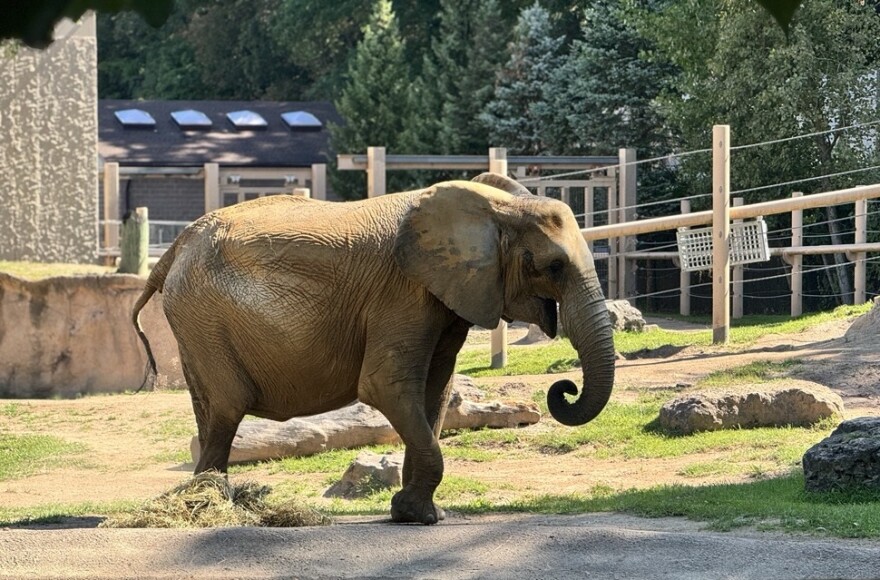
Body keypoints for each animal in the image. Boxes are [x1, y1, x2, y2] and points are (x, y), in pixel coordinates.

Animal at [132, 172, 615, 525]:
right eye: (554, 266)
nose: (564, 387)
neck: (495, 208)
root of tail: (178, 244)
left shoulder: (443, 296)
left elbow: (435, 392)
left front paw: (415, 514)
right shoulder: (402, 293)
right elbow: (386, 386)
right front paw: (423, 517)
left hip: (195, 320)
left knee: (211, 410)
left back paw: (211, 500)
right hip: (202, 315)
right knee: (227, 407)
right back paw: (213, 506)